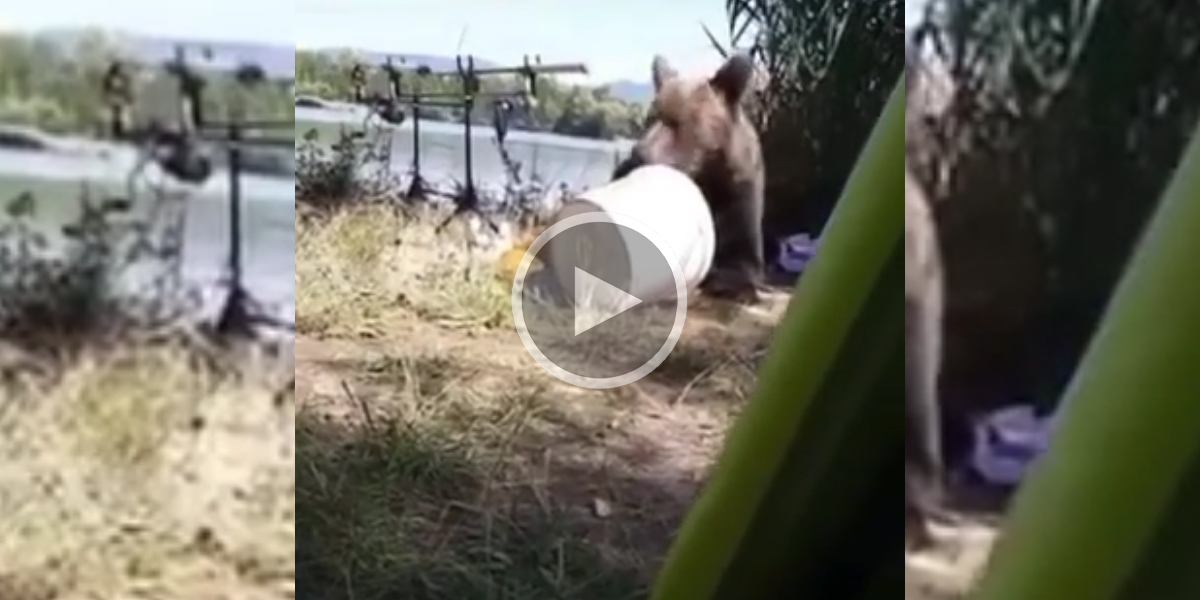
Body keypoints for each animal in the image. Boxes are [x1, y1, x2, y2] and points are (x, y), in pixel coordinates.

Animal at [614, 54, 763, 302]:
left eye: (677, 122)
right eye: (649, 118)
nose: (640, 154)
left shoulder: (738, 189)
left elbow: (740, 254)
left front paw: (729, 281)